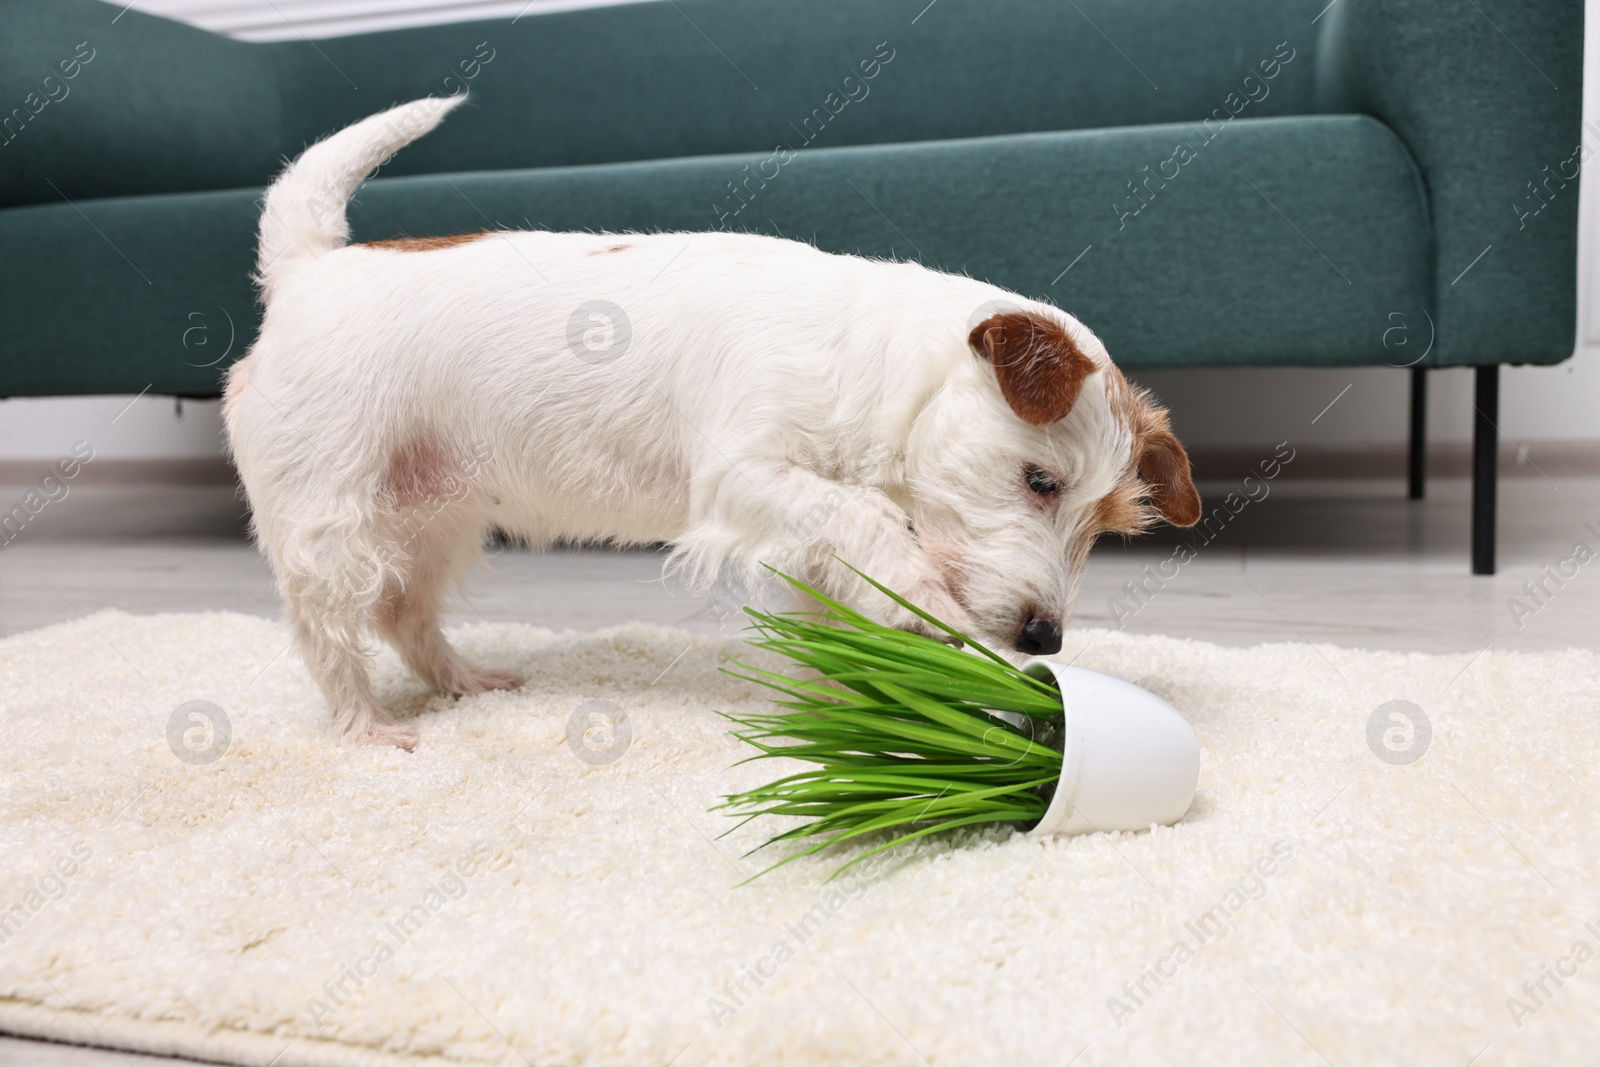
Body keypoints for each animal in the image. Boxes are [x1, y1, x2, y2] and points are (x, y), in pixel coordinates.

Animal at [225, 97, 1203, 751]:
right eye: (1040, 482)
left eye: (1102, 527)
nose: (1047, 639)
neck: (869, 359)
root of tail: (307, 270)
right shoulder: (741, 475)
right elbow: (865, 518)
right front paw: (919, 599)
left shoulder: (801, 532)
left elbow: (833, 591)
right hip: (333, 522)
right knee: (330, 630)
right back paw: (365, 726)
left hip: (433, 516)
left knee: (404, 614)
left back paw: (465, 682)